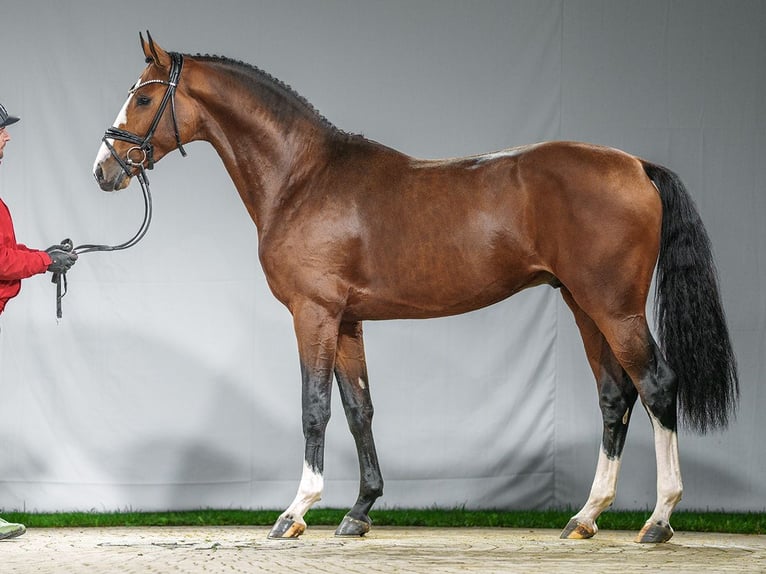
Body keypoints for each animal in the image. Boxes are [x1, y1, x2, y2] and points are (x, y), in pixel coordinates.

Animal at [91, 33, 736, 548]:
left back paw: (658, 520)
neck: (302, 177)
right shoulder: (347, 320)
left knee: (657, 385)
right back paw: (585, 517)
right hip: (583, 304)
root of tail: (637, 165)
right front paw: (359, 512)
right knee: (614, 397)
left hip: (613, 307)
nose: (104, 169)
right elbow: (359, 409)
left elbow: (314, 407)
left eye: (143, 97)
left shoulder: (313, 313)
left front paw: (295, 512)